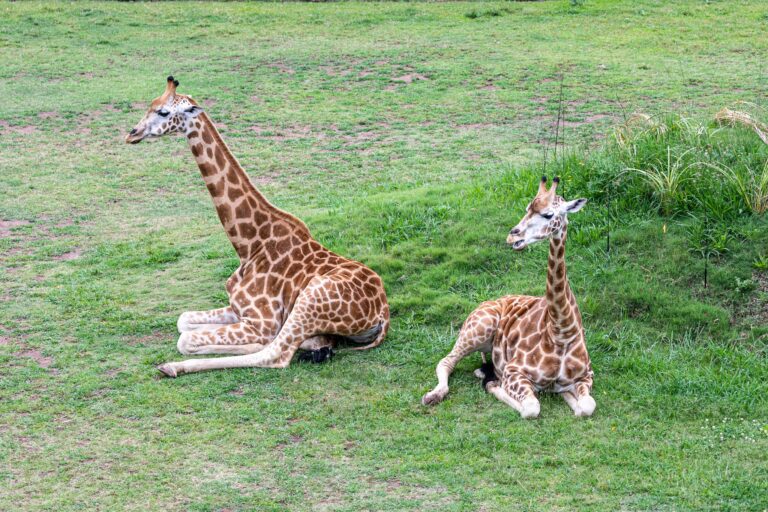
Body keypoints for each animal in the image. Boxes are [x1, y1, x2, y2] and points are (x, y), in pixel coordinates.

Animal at [125, 76, 389, 377]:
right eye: (151, 105)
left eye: (163, 112)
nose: (132, 134)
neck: (248, 244)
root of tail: (383, 313)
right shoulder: (237, 308)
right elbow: (183, 320)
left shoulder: (262, 321)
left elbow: (187, 339)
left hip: (309, 300)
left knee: (275, 354)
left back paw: (172, 366)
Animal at [421, 176, 595, 419]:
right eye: (527, 208)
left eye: (548, 214)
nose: (513, 235)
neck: (562, 331)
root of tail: (489, 301)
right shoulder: (514, 371)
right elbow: (531, 408)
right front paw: (493, 382)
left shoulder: (586, 375)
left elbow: (586, 406)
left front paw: (568, 396)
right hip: (478, 328)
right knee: (446, 360)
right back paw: (435, 394)